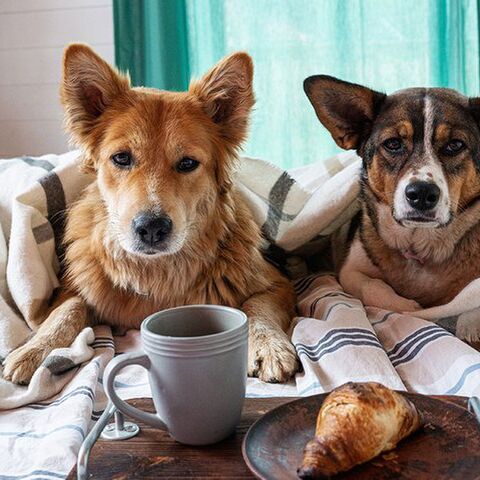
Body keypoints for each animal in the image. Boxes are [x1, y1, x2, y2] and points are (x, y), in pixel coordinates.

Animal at [2, 44, 296, 382]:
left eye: (187, 163)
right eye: (121, 158)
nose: (152, 228)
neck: (155, 274)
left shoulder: (278, 282)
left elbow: (256, 308)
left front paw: (268, 344)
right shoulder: (68, 289)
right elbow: (67, 309)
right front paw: (36, 349)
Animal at [306, 76, 480, 312]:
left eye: (455, 145)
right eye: (393, 143)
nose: (421, 193)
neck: (418, 246)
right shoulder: (350, 271)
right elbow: (373, 287)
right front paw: (411, 307)